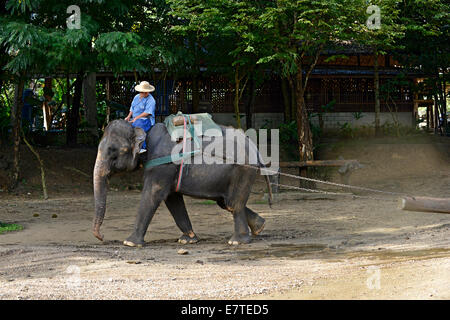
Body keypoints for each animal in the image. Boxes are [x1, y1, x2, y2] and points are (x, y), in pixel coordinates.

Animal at [92, 119, 270, 246]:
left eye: (113, 151)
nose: (101, 237)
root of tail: (255, 148)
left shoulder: (163, 166)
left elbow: (153, 194)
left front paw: (129, 243)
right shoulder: (168, 170)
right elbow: (172, 198)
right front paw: (188, 239)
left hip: (242, 170)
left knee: (233, 203)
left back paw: (237, 241)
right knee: (225, 202)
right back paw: (259, 227)